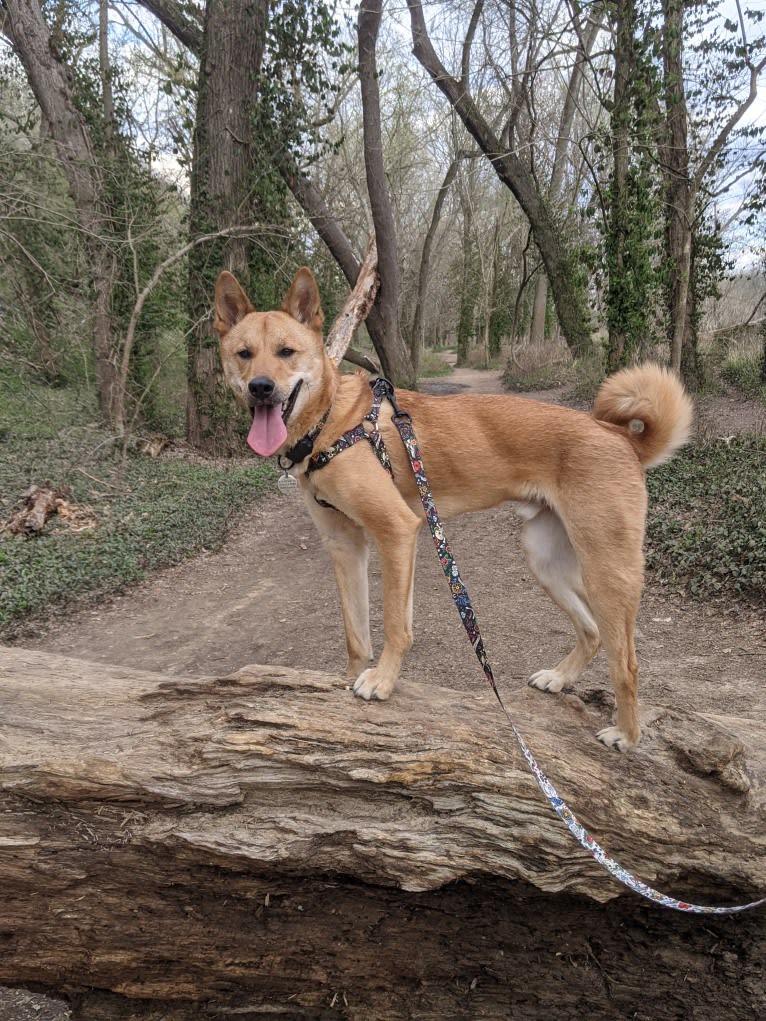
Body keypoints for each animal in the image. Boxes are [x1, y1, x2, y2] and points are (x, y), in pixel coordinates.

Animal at [213, 269, 694, 751]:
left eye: (286, 352)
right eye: (244, 354)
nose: (261, 388)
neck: (331, 420)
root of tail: (621, 437)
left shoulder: (396, 532)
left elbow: (394, 624)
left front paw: (382, 681)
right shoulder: (345, 545)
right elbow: (356, 633)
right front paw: (346, 680)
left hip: (606, 571)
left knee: (626, 662)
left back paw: (627, 734)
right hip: (545, 560)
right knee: (591, 631)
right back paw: (560, 678)